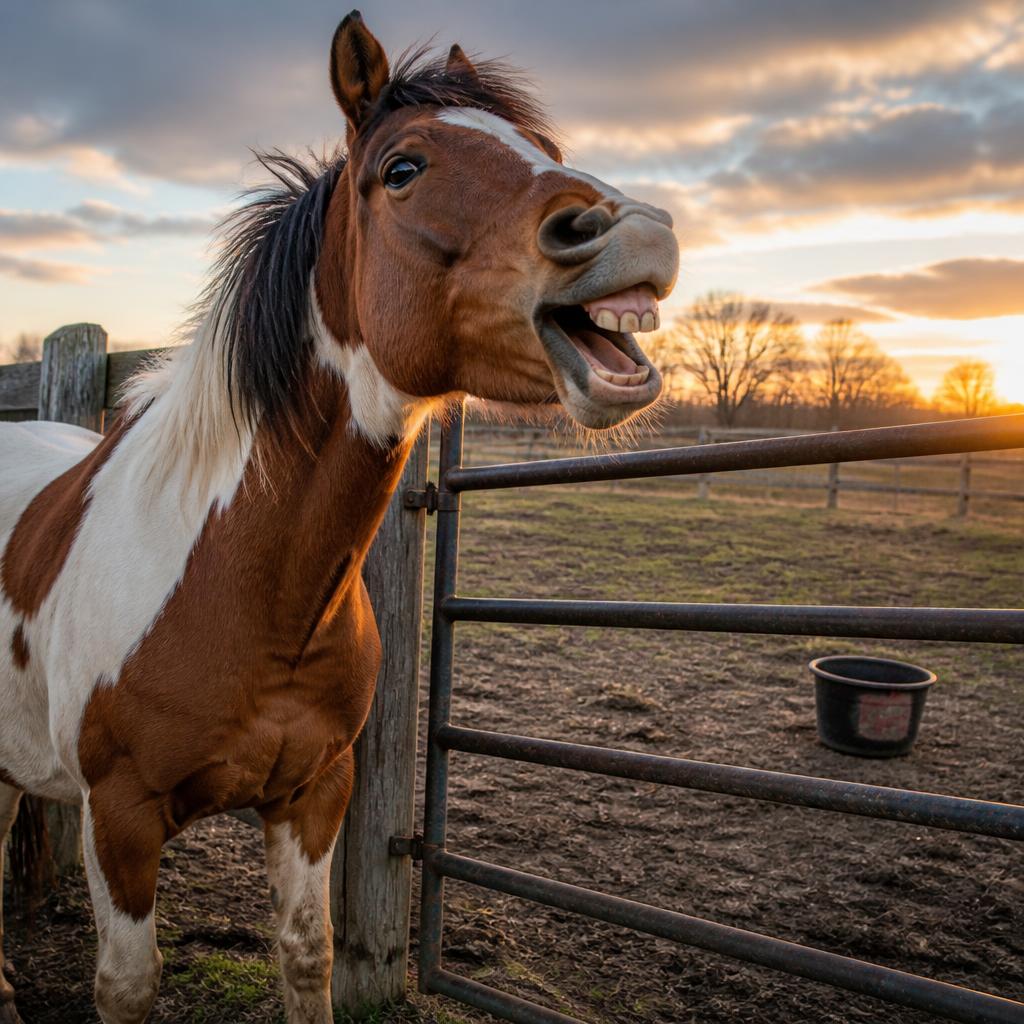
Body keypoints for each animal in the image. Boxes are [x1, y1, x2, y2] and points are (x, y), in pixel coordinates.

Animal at [0, 11, 678, 1022]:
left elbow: (308, 953)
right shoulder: (118, 817)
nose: (637, 233)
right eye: (403, 168)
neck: (244, 585)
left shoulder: (315, 794)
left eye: (550, 151)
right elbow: (126, 985)